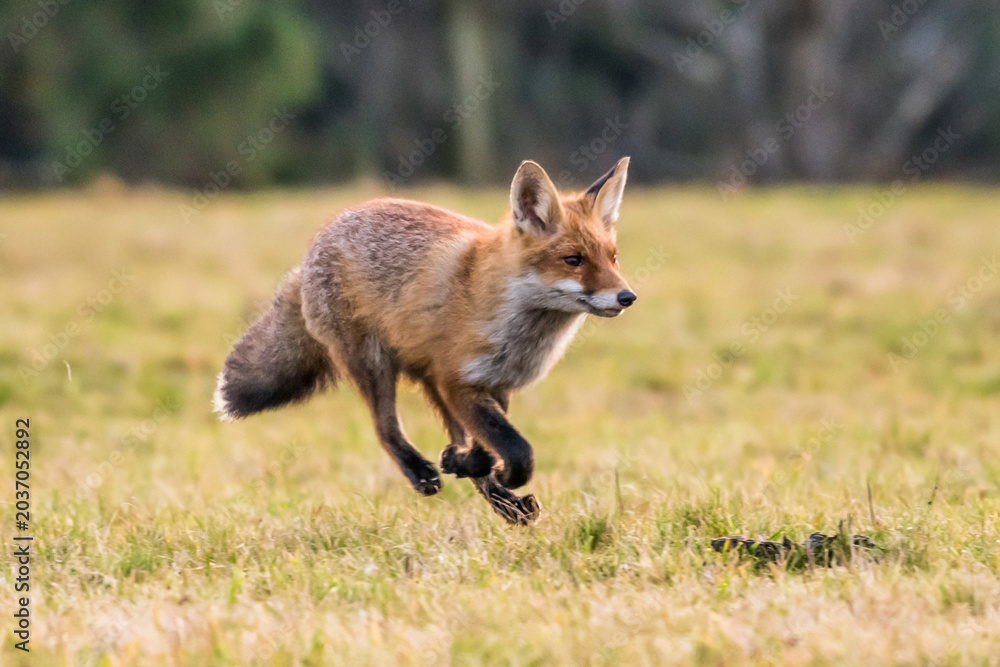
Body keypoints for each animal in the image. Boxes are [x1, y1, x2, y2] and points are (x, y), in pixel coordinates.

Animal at [214, 157, 636, 522]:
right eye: (573, 260)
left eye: (613, 258)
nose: (627, 297)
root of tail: (320, 240)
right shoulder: (456, 381)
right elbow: (518, 451)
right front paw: (490, 471)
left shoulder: (491, 384)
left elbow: (489, 446)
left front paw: (472, 466)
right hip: (374, 365)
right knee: (384, 428)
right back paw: (420, 470)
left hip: (425, 376)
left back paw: (503, 501)